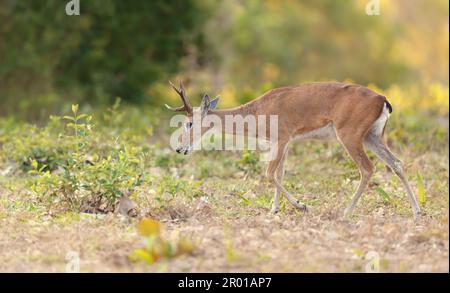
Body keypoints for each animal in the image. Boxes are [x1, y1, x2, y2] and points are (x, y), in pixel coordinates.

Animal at [164, 80, 422, 217]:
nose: (180, 149)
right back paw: (417, 210)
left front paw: (302, 205)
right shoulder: (285, 143)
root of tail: (383, 100)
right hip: (372, 136)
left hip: (350, 136)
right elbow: (280, 174)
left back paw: (346, 211)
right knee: (397, 163)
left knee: (367, 168)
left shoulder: (281, 138)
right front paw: (274, 209)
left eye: (189, 122)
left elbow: (269, 174)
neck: (257, 112)